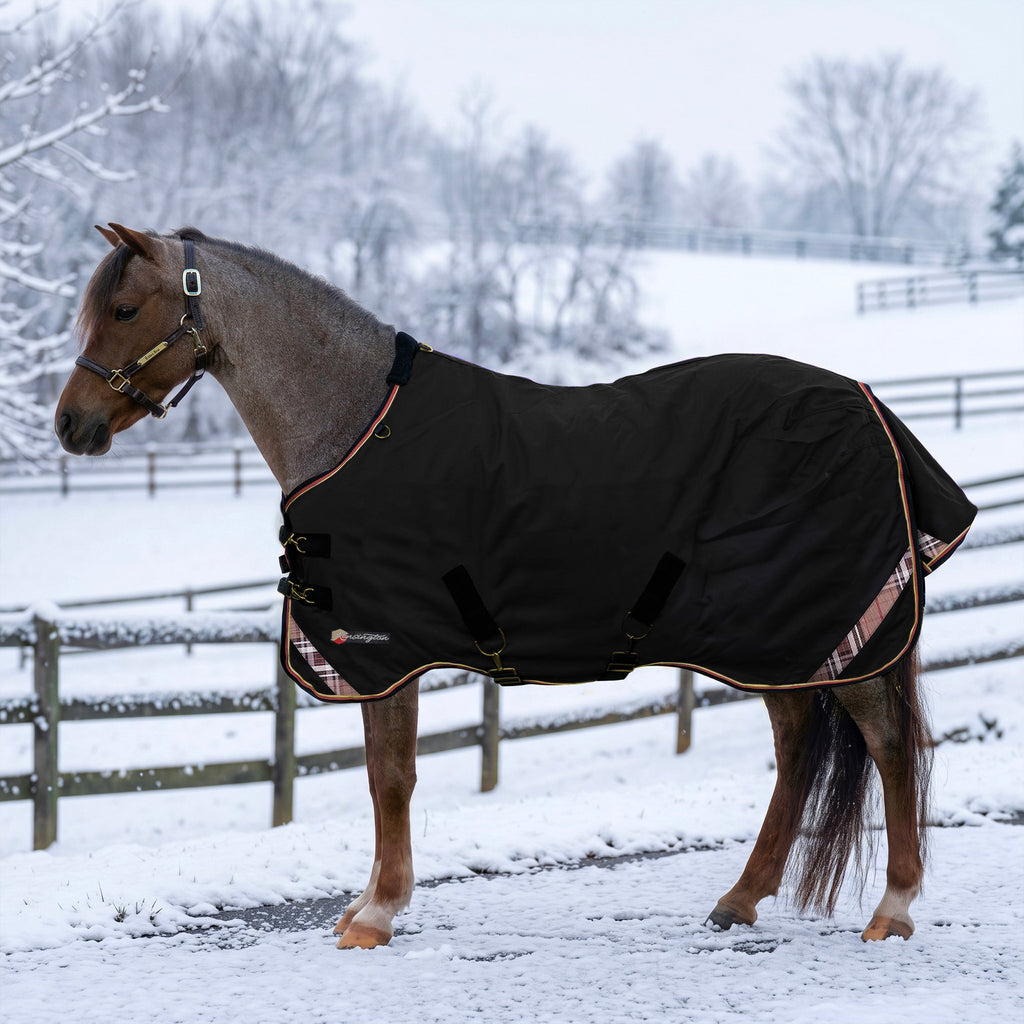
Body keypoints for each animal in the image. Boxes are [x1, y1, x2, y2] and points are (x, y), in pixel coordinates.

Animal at [55, 223, 974, 949]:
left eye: (125, 309)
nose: (70, 424)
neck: (354, 424)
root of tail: (871, 408)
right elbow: (381, 773)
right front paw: (365, 903)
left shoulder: (384, 650)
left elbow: (391, 776)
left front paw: (377, 915)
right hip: (780, 638)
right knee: (796, 751)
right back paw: (740, 900)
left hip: (830, 630)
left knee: (890, 745)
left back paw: (892, 910)